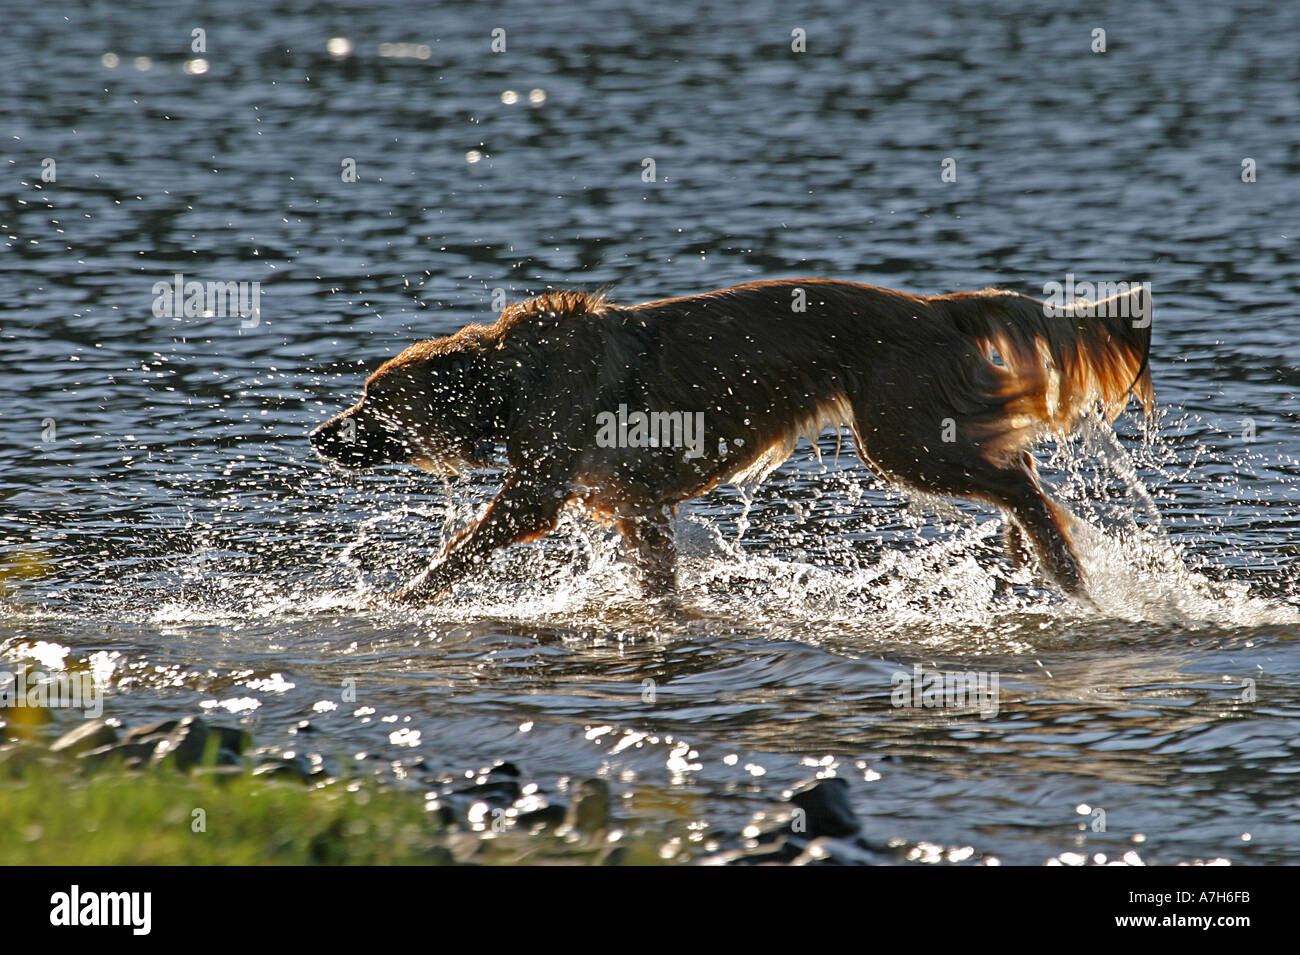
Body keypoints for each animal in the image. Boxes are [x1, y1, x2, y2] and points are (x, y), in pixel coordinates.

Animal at [309, 280, 1154, 600]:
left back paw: (1059, 563)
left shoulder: (535, 494)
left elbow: (456, 554)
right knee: (1017, 463)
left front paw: (402, 599)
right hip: (918, 434)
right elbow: (656, 578)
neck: (512, 377)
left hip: (902, 439)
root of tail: (937, 306)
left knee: (1020, 480)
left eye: (373, 401)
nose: (317, 437)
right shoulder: (637, 505)